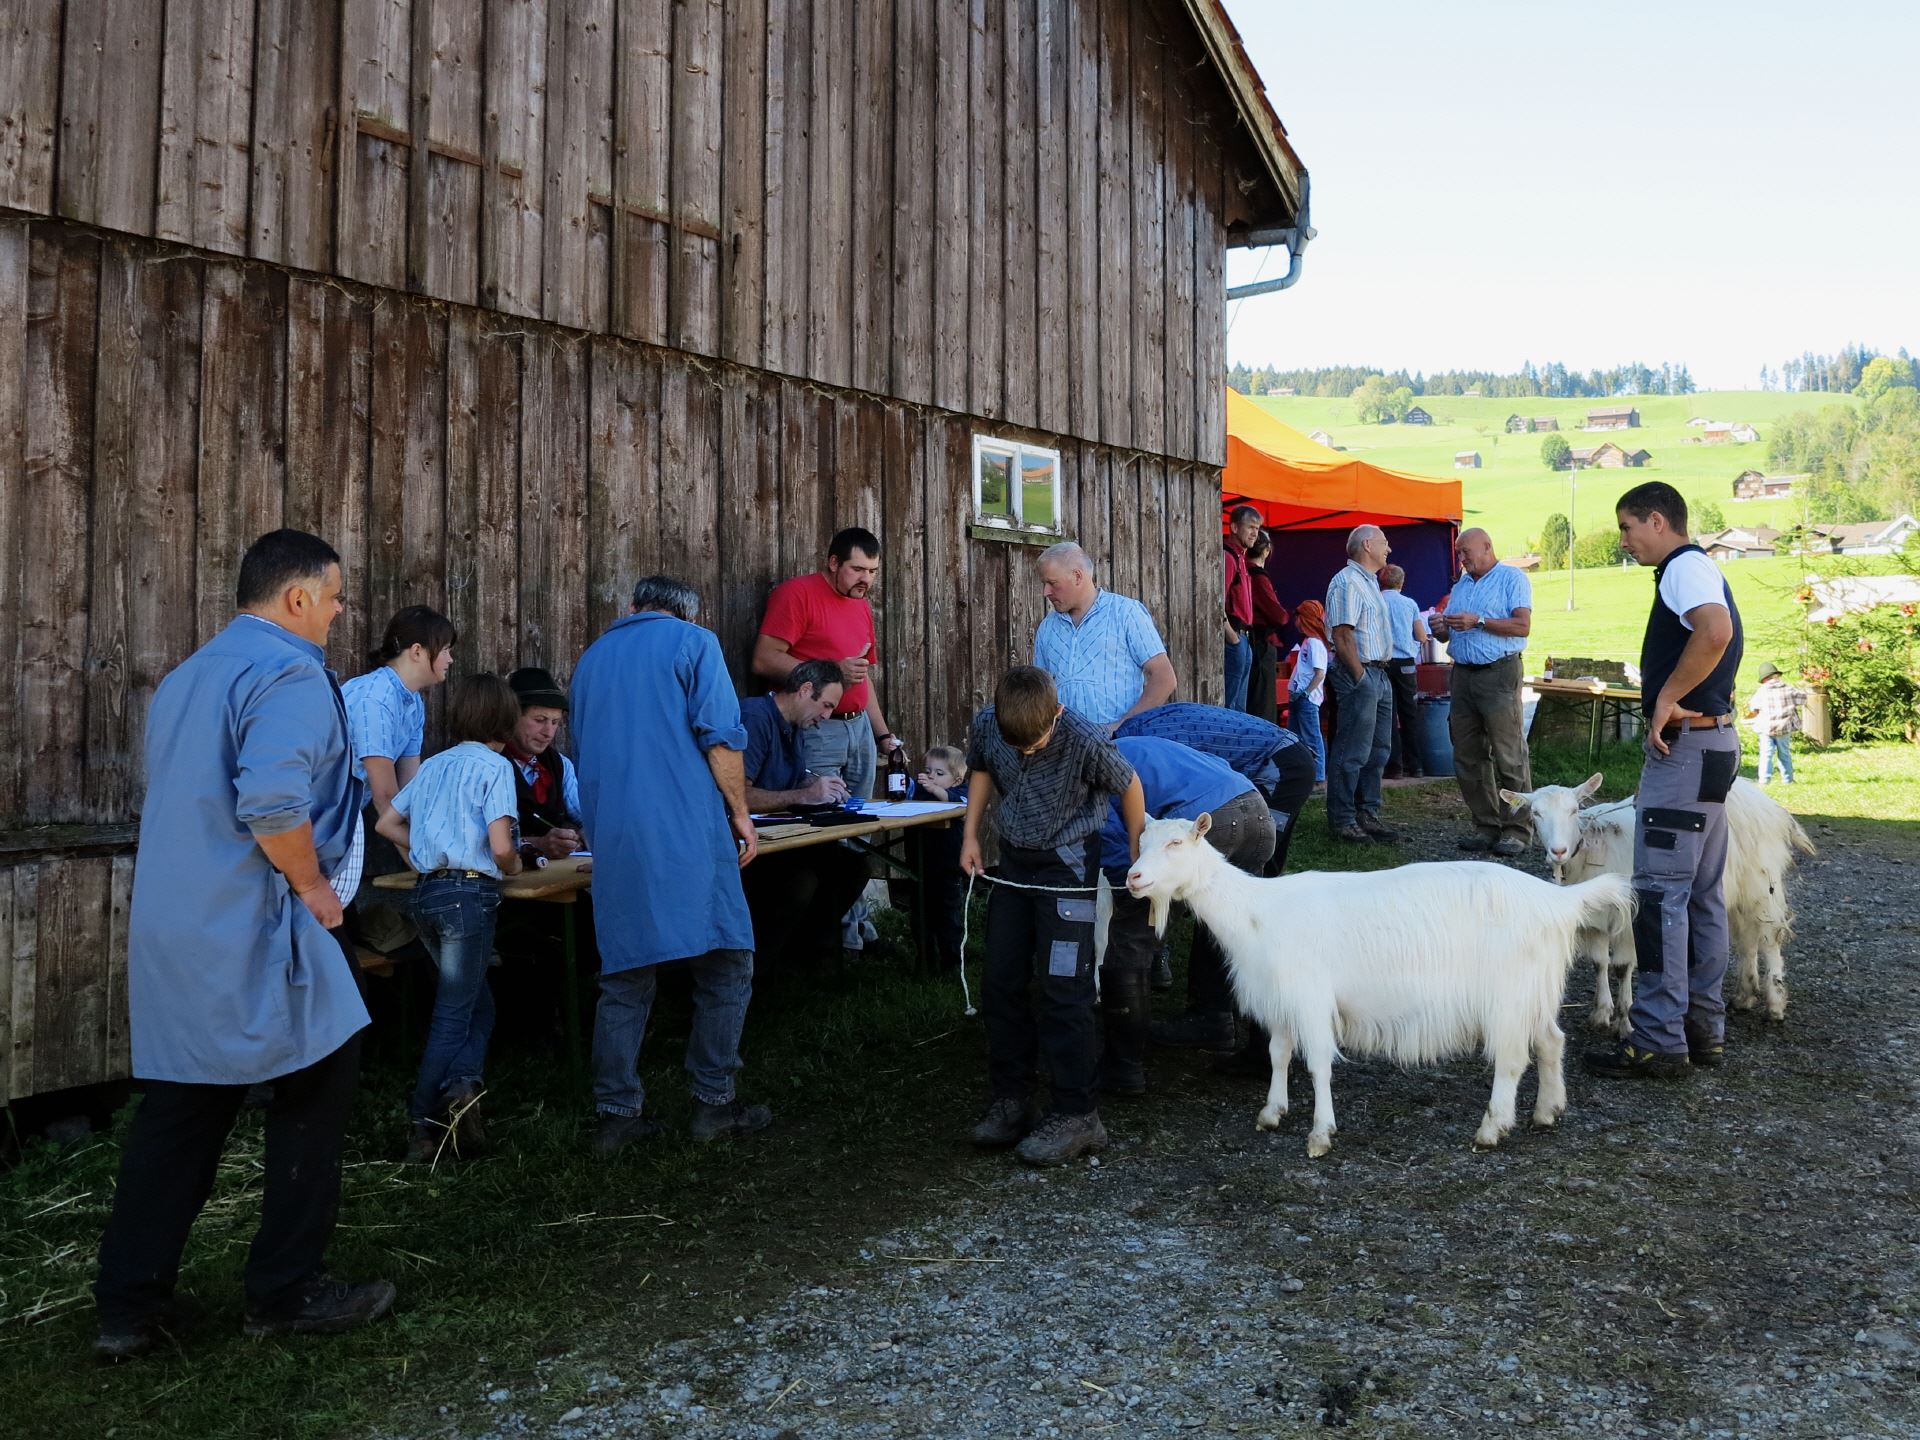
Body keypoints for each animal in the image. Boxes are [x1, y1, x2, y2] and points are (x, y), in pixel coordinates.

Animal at [1124, 815, 1634, 1158]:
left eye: (1176, 842)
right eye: (1142, 840)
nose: (1132, 877)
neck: (1255, 912)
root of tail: (1556, 901)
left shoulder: (1311, 997)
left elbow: (1318, 1065)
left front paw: (1320, 1134)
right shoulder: (1281, 998)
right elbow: (1278, 1054)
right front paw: (1272, 1113)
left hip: (1508, 992)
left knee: (1511, 1059)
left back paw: (1491, 1130)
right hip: (1536, 989)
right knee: (1551, 1041)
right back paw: (1547, 1112)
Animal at [1500, 774, 1816, 1033]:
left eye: (1574, 810)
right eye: (1536, 813)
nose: (1558, 851)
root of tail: (1768, 803)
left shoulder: (1630, 919)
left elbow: (1621, 967)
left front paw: (1625, 1021)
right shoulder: (1596, 921)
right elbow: (1599, 964)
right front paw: (1601, 1013)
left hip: (1761, 883)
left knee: (1770, 938)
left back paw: (1774, 1004)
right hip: (1735, 890)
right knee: (1747, 939)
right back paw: (1744, 994)